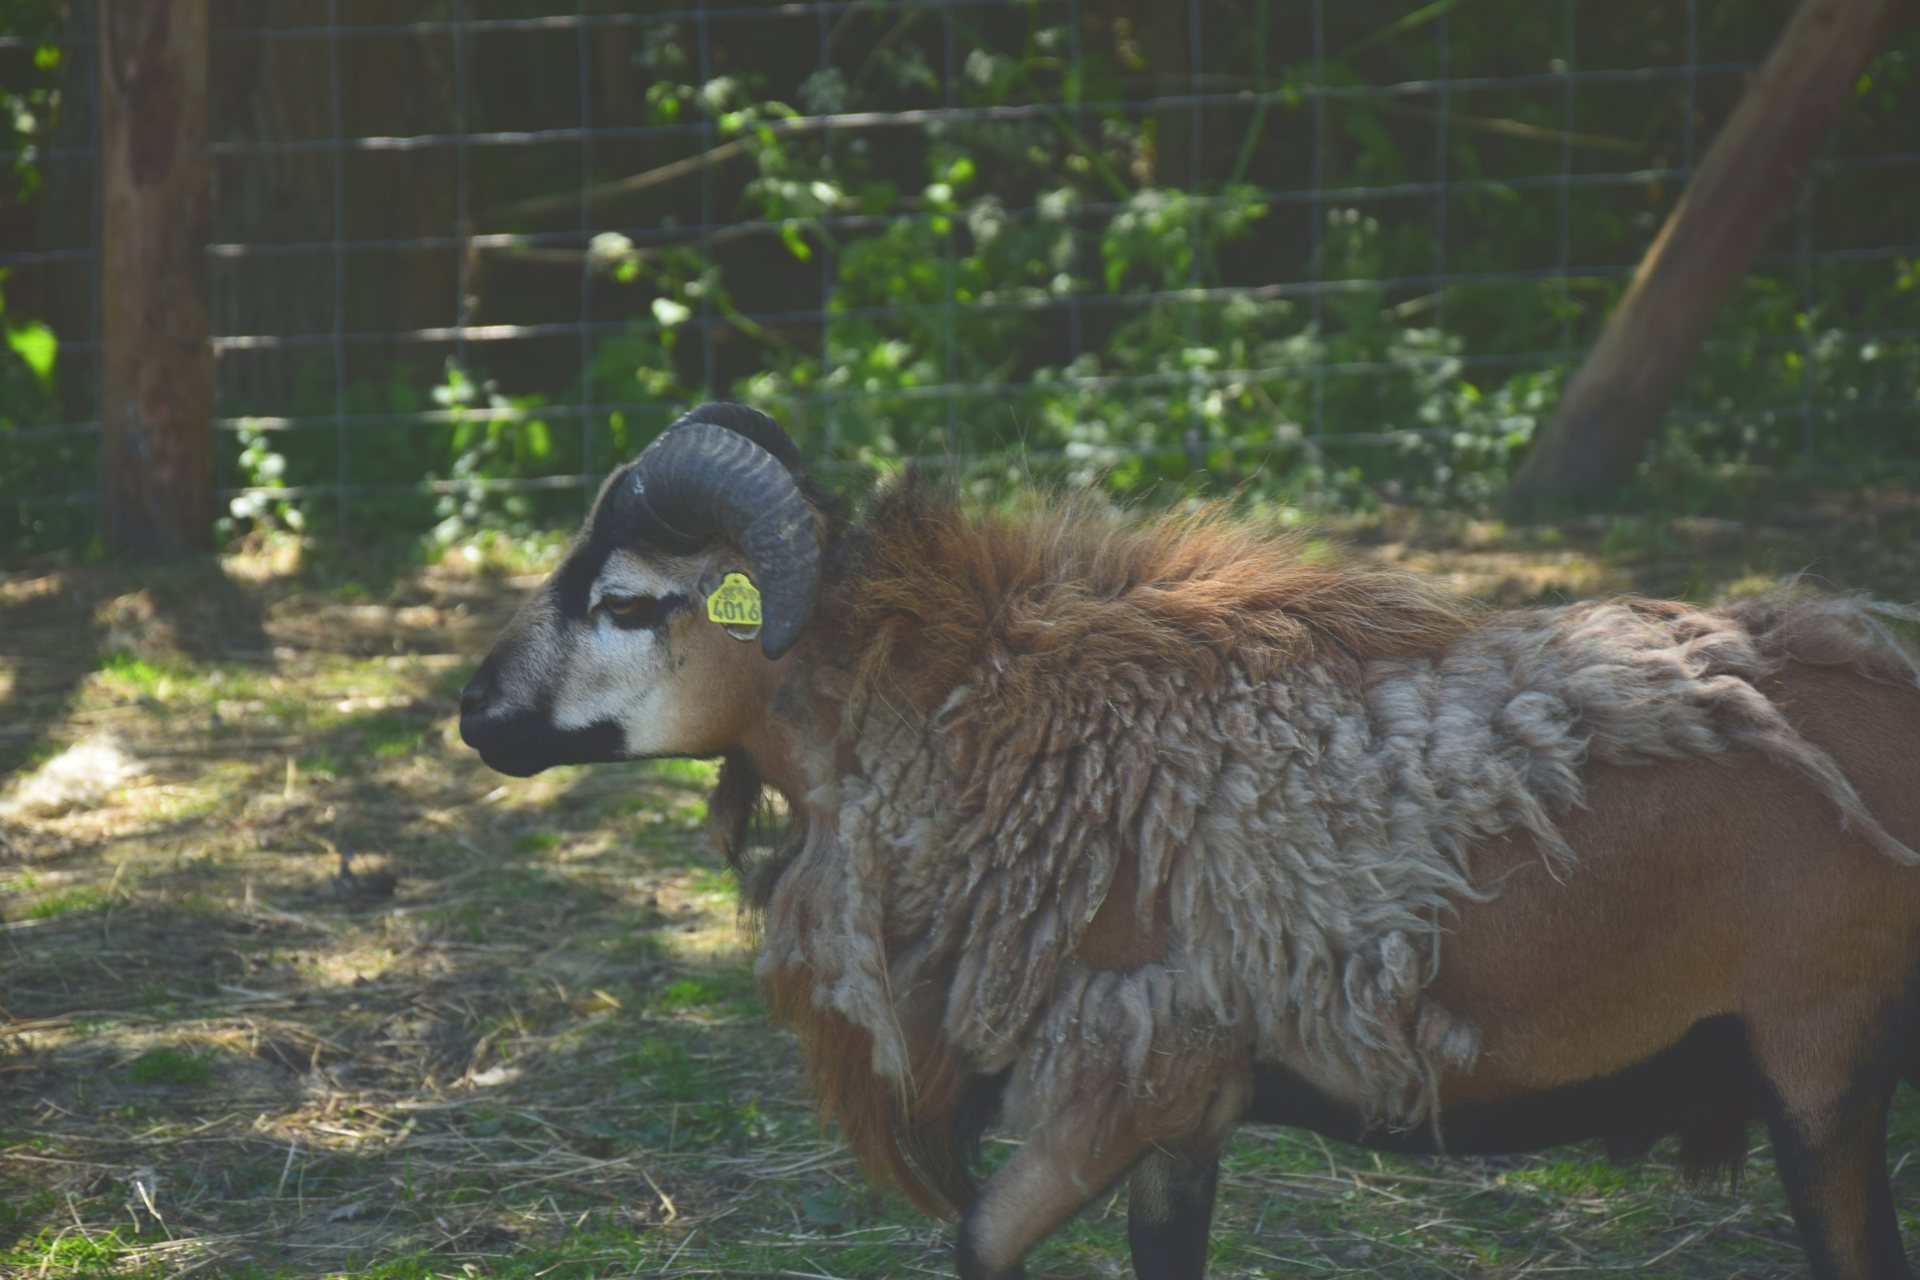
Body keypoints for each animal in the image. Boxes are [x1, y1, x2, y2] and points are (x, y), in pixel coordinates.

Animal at [460, 402, 1920, 1280]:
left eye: (628, 600)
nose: (474, 713)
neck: (989, 723)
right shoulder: (1187, 1111)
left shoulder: (1118, 1083)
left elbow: (979, 1241)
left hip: (1821, 1059)